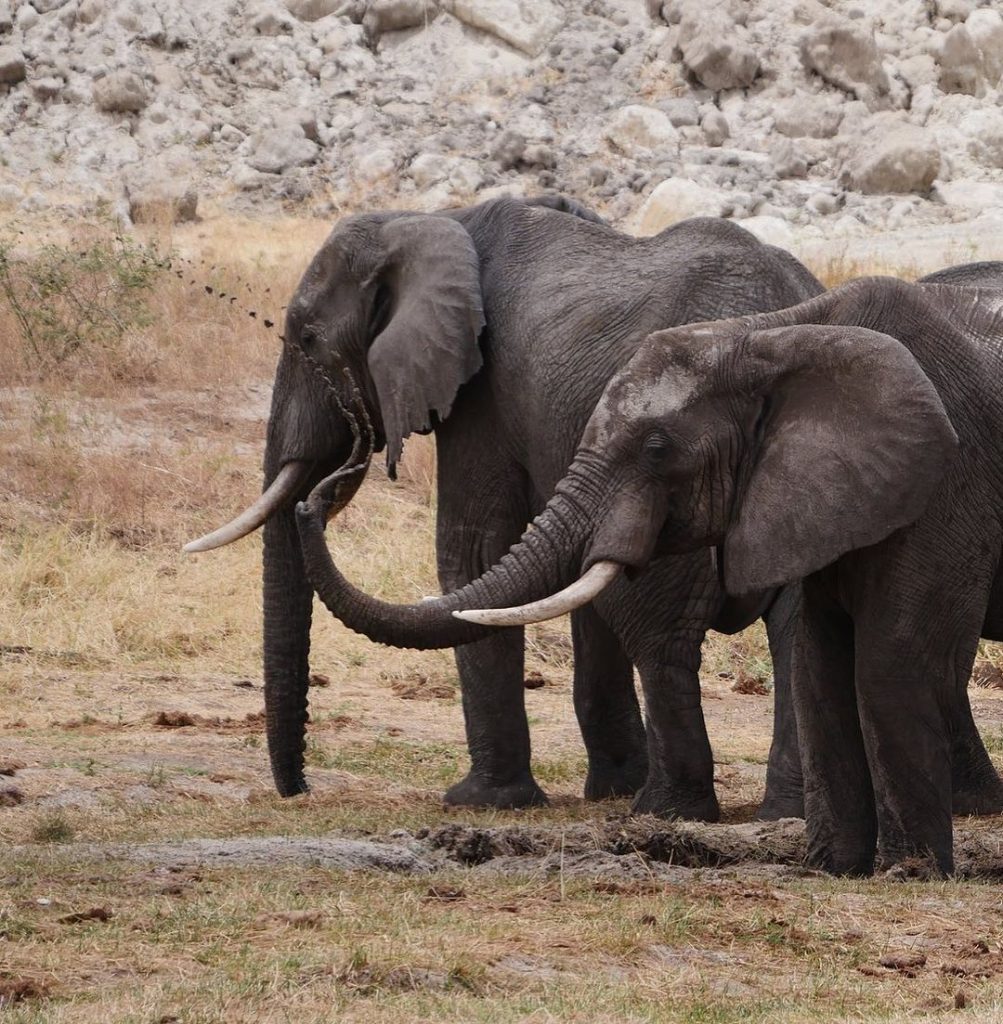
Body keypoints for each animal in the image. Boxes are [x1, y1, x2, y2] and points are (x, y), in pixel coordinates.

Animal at [186, 190, 823, 815]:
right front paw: (609, 788)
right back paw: (780, 811)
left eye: (308, 340)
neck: (433, 219)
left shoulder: (482, 393)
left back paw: (668, 812)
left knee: (661, 633)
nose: (298, 790)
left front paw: (480, 802)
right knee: (797, 631)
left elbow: (475, 549)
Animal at [297, 276, 1003, 876]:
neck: (773, 337)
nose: (314, 500)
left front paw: (911, 874)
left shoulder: (950, 478)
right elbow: (818, 663)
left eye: (658, 449)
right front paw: (831, 871)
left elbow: (893, 659)